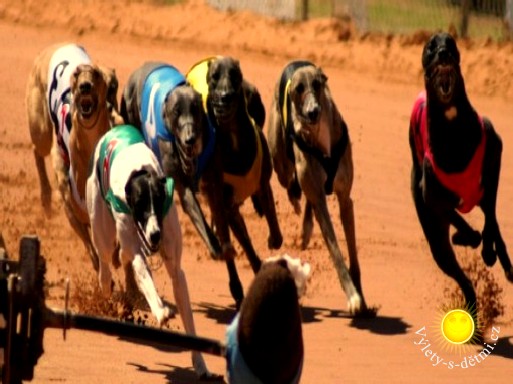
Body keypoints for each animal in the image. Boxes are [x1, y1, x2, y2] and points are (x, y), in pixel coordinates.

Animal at [26, 42, 119, 270]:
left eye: (113, 86)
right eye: (78, 74)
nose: (86, 86)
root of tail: (57, 45)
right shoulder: (71, 210)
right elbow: (91, 248)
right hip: (41, 129)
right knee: (37, 150)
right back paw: (45, 198)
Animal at [186, 56, 282, 308]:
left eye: (235, 76)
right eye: (214, 78)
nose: (224, 96)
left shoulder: (263, 182)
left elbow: (275, 231)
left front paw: (271, 239)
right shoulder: (222, 201)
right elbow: (235, 242)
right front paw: (240, 286)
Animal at [266, 60, 370, 316]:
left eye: (317, 84)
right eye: (298, 89)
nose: (313, 111)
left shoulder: (345, 198)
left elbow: (352, 252)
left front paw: (361, 296)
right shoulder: (322, 202)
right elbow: (336, 252)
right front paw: (353, 296)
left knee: (309, 199)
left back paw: (306, 228)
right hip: (281, 162)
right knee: (293, 186)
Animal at [408, 33, 512, 320]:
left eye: (451, 43)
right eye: (430, 47)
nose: (443, 52)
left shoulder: (495, 155)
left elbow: (491, 217)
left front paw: (489, 251)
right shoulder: (432, 198)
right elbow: (463, 223)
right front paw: (466, 238)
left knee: (492, 222)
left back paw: (502, 261)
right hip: (436, 242)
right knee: (462, 278)